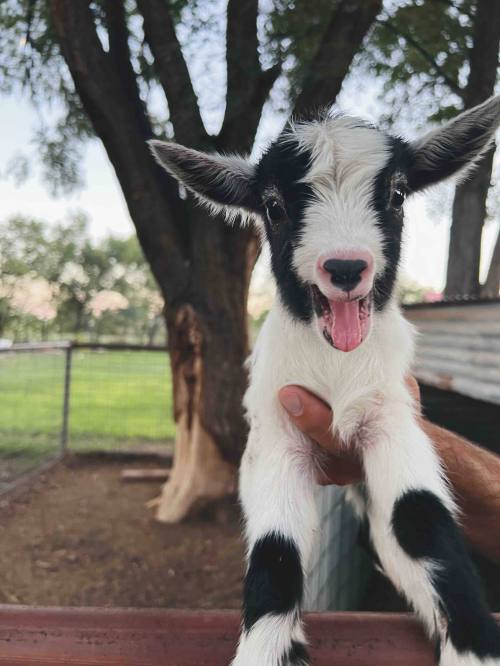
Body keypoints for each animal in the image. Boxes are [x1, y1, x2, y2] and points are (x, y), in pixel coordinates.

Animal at [150, 95, 500, 666]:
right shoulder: (275, 429)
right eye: (273, 206)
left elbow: (418, 514)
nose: (345, 267)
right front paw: (268, 649)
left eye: (396, 193)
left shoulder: (390, 412)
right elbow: (275, 546)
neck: (337, 365)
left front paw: (474, 646)